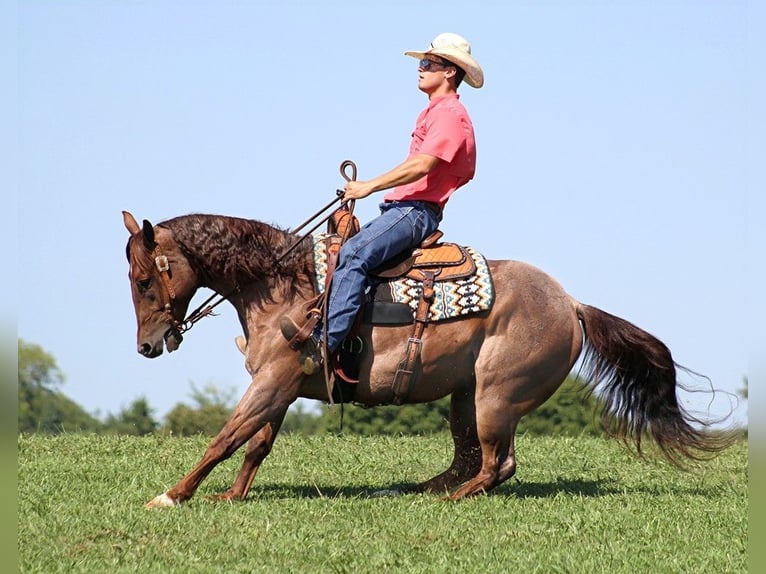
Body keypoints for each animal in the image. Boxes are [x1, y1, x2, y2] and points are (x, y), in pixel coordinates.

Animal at [123, 212, 736, 508]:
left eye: (145, 278)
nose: (147, 346)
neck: (281, 285)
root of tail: (572, 305)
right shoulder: (281, 386)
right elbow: (256, 445)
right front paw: (230, 495)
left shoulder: (274, 381)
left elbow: (225, 438)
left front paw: (171, 496)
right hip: (466, 397)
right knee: (471, 460)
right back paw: (415, 490)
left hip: (495, 394)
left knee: (495, 466)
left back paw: (445, 500)